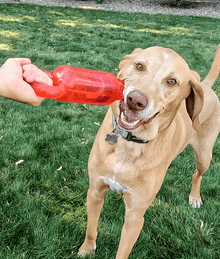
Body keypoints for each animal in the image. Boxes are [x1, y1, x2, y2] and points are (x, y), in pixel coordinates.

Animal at [78, 45, 219, 258]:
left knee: (197, 174)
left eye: (172, 81)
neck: (130, 143)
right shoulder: (95, 191)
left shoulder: (134, 217)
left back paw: (194, 197)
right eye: (139, 66)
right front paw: (87, 248)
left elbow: (122, 252)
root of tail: (206, 86)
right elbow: (91, 229)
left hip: (204, 156)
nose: (135, 100)